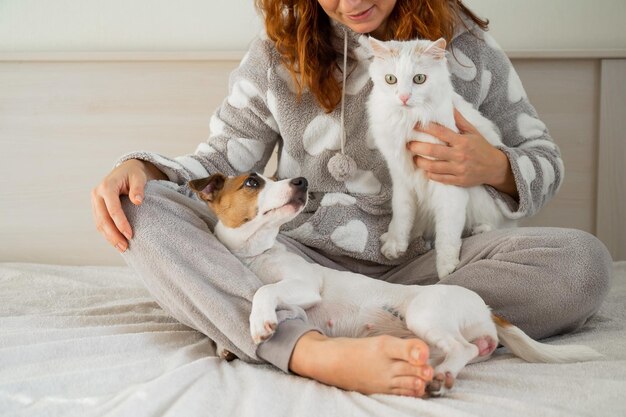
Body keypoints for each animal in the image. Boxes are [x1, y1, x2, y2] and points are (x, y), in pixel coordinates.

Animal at [188, 172, 596, 396]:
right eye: (253, 182)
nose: (301, 181)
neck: (256, 253)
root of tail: (486, 308)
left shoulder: (305, 285)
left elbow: (264, 289)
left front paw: (260, 322)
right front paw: (224, 346)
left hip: (426, 316)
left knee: (462, 348)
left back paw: (442, 377)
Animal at [364, 37, 516, 278]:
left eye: (419, 79)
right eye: (391, 79)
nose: (404, 97)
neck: (407, 121)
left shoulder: (449, 186)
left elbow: (447, 233)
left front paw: (447, 268)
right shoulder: (401, 178)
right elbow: (402, 214)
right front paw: (395, 244)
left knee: (492, 225)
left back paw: (479, 230)